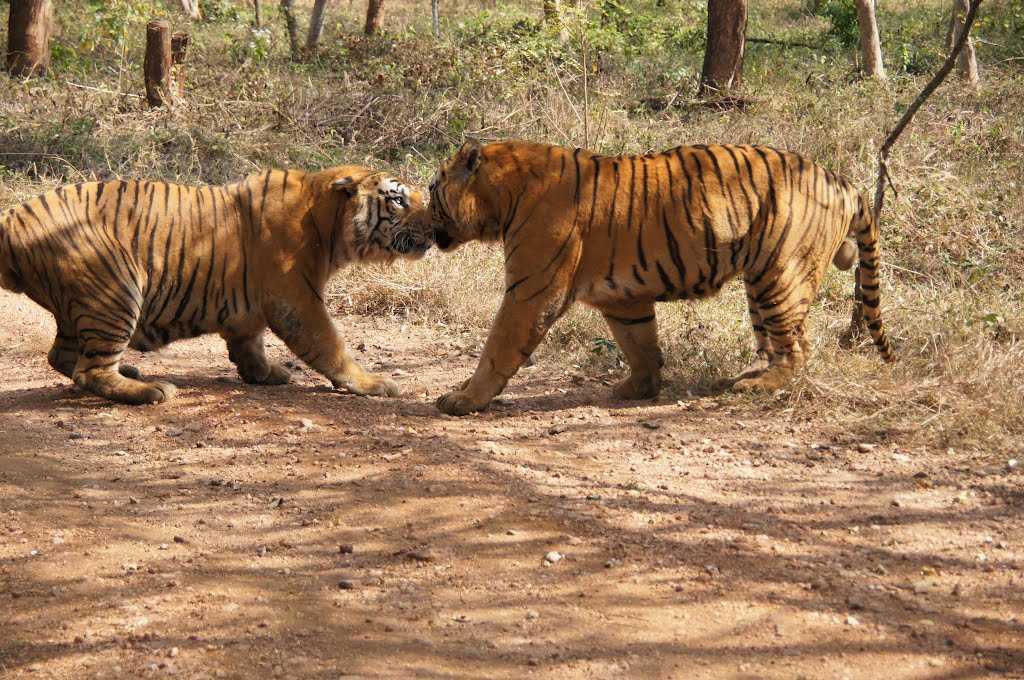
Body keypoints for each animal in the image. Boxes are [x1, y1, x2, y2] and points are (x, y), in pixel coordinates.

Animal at [0, 166, 432, 405]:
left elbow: (249, 343)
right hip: (116, 289)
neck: (327, 225)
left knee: (62, 356)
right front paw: (371, 383)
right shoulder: (298, 299)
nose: (434, 222)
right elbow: (330, 345)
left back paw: (133, 373)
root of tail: (13, 218)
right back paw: (149, 391)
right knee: (88, 371)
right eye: (398, 199)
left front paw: (265, 373)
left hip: (84, 302)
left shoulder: (251, 306)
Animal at [427, 138, 894, 415]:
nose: (421, 214)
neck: (500, 197)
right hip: (760, 281)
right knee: (778, 342)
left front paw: (464, 398)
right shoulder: (623, 298)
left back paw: (757, 387)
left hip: (780, 275)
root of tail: (842, 181)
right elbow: (640, 345)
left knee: (798, 346)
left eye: (434, 190)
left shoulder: (531, 291)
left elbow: (498, 346)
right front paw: (640, 387)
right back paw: (744, 376)